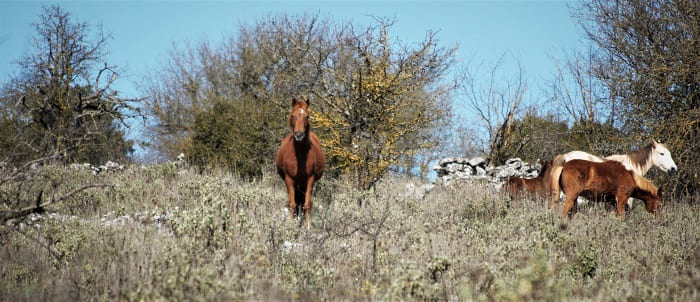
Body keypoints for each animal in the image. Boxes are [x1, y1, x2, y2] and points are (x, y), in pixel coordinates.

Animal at [276, 98, 326, 229]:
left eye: (307, 116)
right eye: (293, 115)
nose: (299, 135)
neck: (299, 156)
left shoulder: (310, 180)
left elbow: (307, 204)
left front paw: (307, 227)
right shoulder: (289, 179)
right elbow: (292, 204)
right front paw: (291, 224)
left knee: (302, 203)